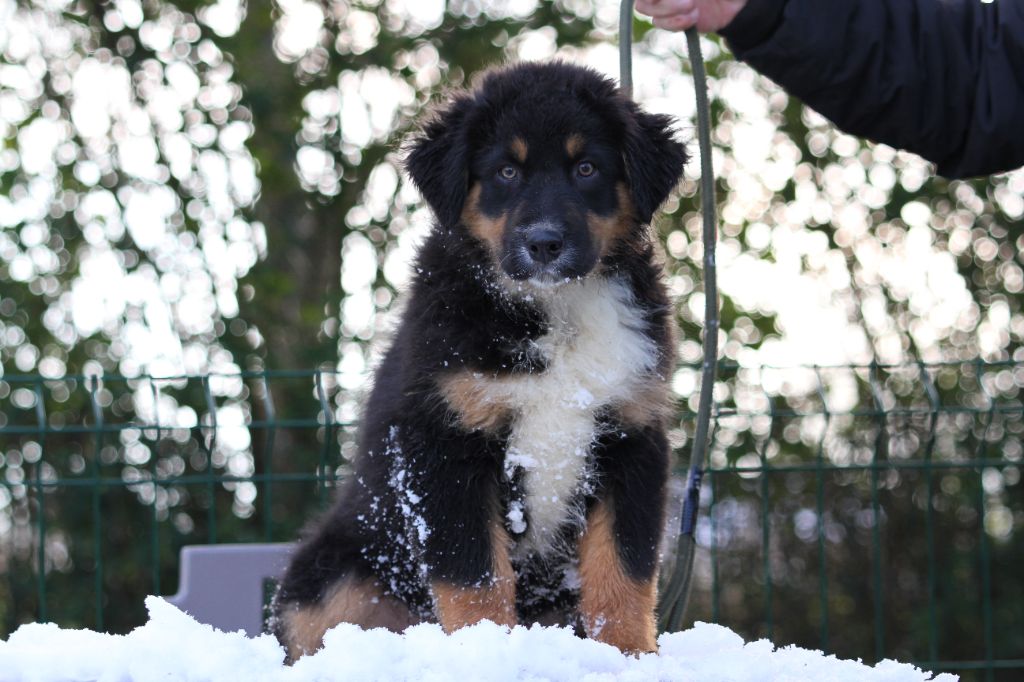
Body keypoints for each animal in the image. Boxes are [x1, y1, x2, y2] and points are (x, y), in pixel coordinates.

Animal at [272, 61, 688, 655]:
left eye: (586, 167)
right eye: (506, 172)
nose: (544, 244)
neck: (555, 309)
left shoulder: (632, 434)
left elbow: (623, 570)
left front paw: (631, 654)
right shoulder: (445, 440)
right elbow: (474, 576)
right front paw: (485, 650)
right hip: (333, 575)